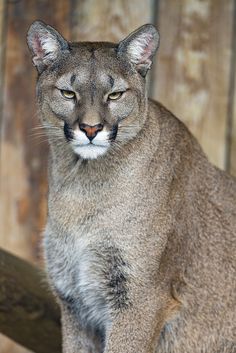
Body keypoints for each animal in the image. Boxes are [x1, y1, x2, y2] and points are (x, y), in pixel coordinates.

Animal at [26, 21, 235, 352]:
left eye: (115, 94)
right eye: (68, 93)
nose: (90, 128)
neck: (81, 184)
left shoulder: (139, 298)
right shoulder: (75, 301)